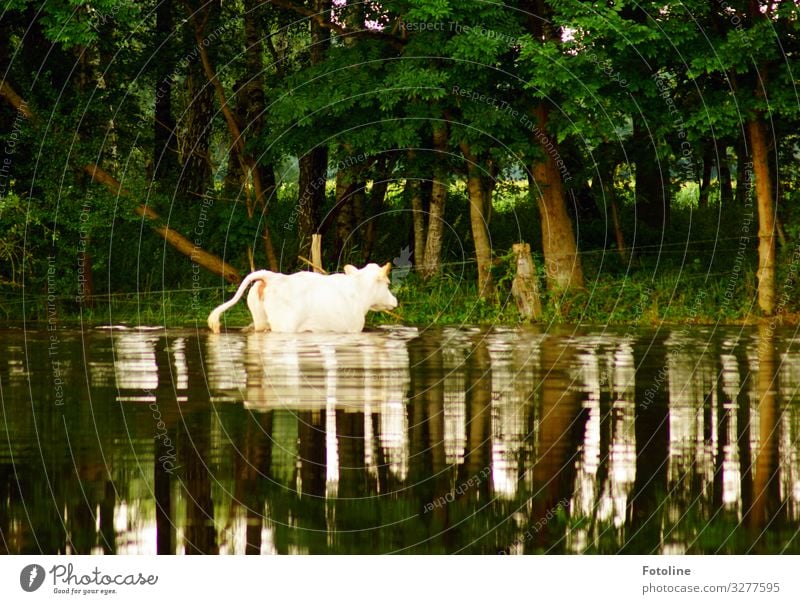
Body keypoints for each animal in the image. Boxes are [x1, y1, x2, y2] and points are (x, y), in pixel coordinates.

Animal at [205, 260, 396, 332]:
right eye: (388, 283)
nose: (395, 301)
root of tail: (271, 276)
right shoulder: (353, 328)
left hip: (260, 321)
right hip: (284, 326)